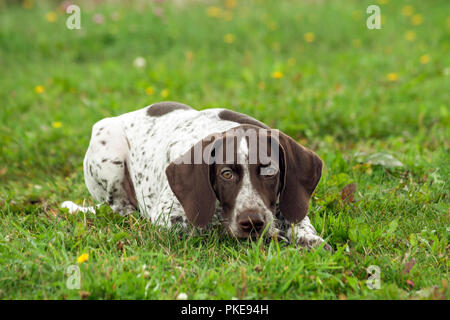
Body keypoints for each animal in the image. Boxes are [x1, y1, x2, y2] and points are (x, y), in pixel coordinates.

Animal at [61, 101, 330, 251]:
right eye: (226, 174)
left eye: (269, 171)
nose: (252, 222)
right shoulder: (169, 219)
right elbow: (214, 228)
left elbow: (299, 222)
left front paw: (308, 239)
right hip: (107, 142)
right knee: (121, 208)